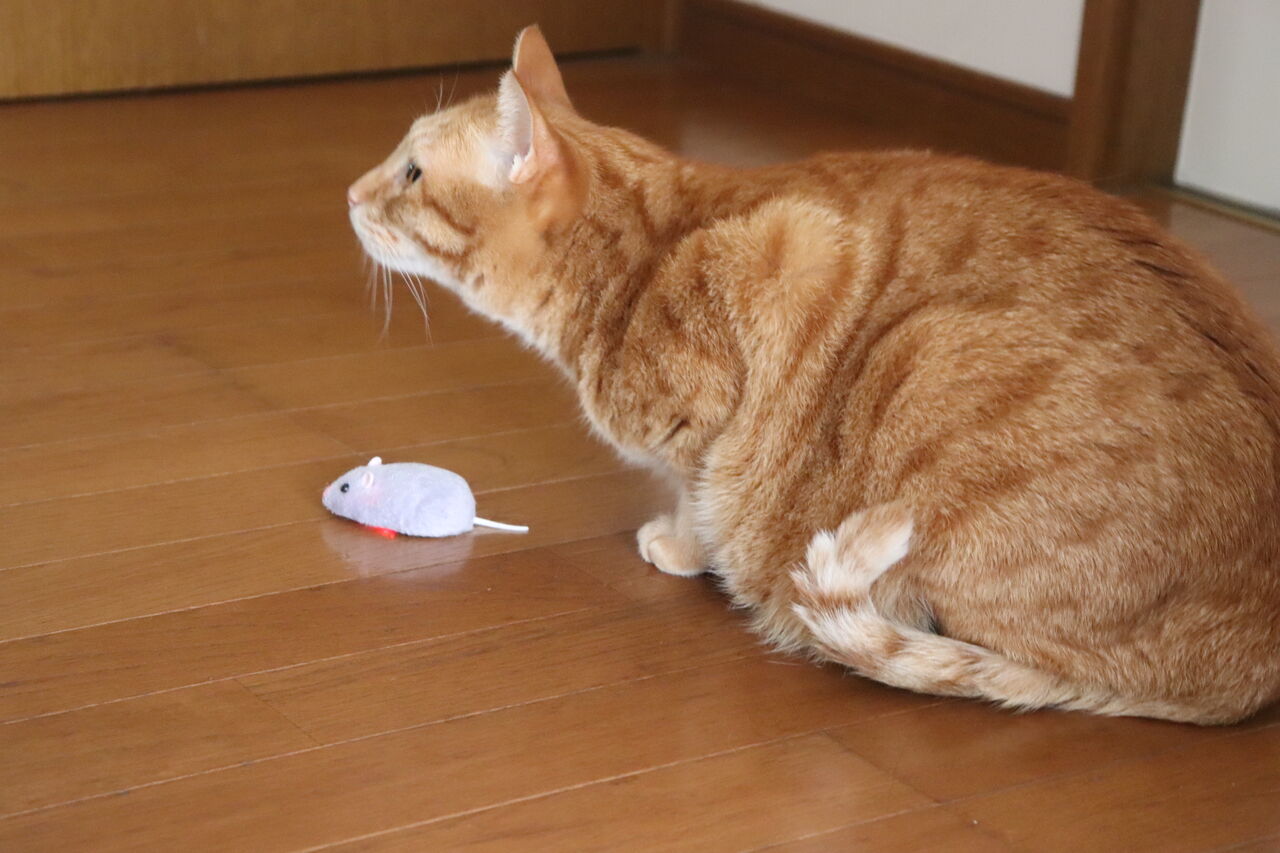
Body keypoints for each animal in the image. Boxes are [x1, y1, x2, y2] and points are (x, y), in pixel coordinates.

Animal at [347, 26, 1280, 724]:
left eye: (412, 173)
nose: (350, 193)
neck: (638, 258)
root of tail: (1248, 670)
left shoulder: (767, 307)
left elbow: (699, 490)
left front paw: (683, 545)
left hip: (924, 354)